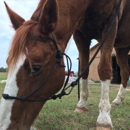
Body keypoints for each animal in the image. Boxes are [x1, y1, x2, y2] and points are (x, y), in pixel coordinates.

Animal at [0, 0, 130, 129]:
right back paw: (118, 99)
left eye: (36, 67)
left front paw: (104, 118)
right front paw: (81, 104)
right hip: (122, 49)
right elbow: (84, 69)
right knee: (125, 72)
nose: (4, 125)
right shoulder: (80, 35)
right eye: (8, 63)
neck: (90, 4)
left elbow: (104, 69)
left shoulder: (110, 27)